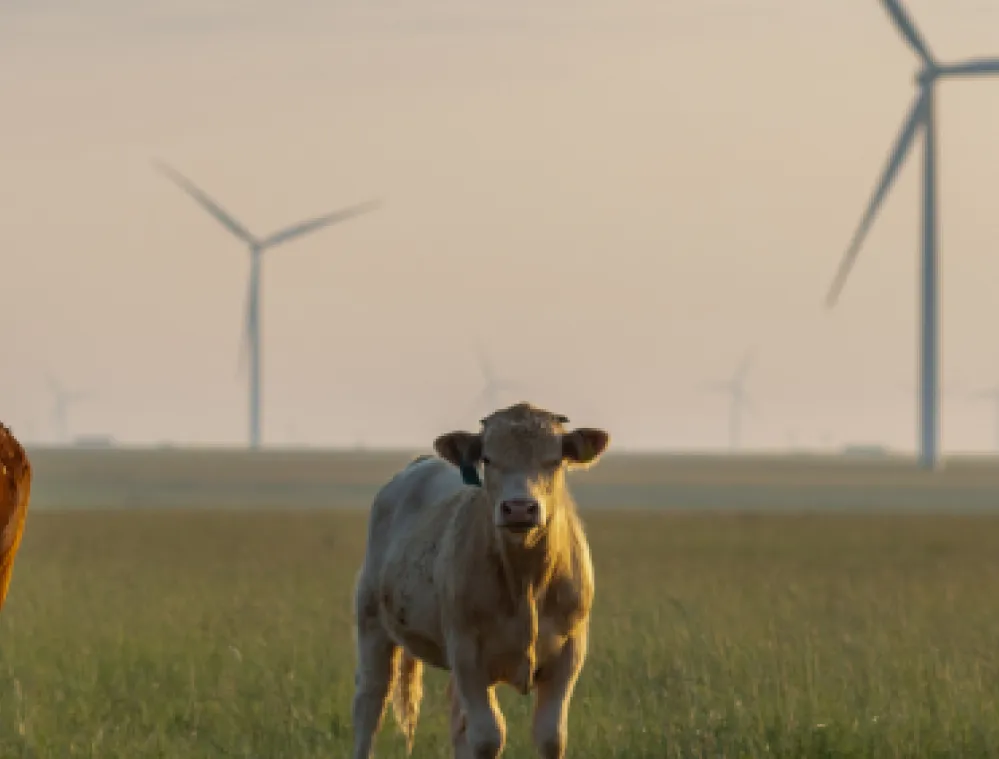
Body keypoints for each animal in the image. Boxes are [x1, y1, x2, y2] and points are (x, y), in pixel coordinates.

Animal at [350, 402, 610, 759]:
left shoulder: (569, 653)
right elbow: (488, 736)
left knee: (457, 722)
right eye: (488, 458)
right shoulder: (467, 653)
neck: (525, 580)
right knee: (370, 702)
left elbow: (550, 736)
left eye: (555, 459)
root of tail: (419, 464)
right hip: (372, 622)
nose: (519, 508)